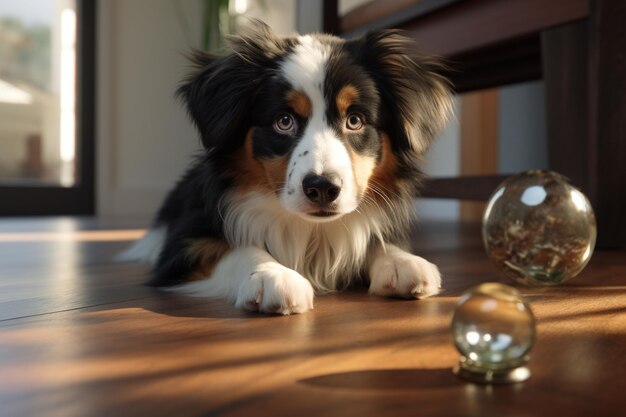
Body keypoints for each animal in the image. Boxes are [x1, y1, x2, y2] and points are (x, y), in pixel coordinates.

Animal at [122, 21, 450, 314]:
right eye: (284, 121)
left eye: (355, 120)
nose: (322, 188)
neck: (311, 229)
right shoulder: (184, 248)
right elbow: (236, 248)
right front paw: (271, 274)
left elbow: (374, 238)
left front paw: (401, 260)